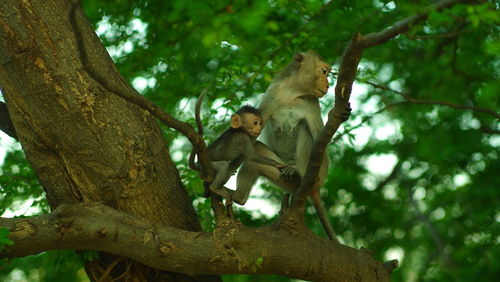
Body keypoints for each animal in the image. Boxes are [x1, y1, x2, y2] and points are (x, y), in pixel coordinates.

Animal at [238, 50, 352, 240]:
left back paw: (299, 173)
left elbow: (320, 138)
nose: (328, 84)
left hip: (318, 172)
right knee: (256, 154)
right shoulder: (272, 93)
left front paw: (338, 115)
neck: (293, 93)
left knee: (306, 129)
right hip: (281, 177)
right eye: (324, 71)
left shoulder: (312, 103)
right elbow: (252, 137)